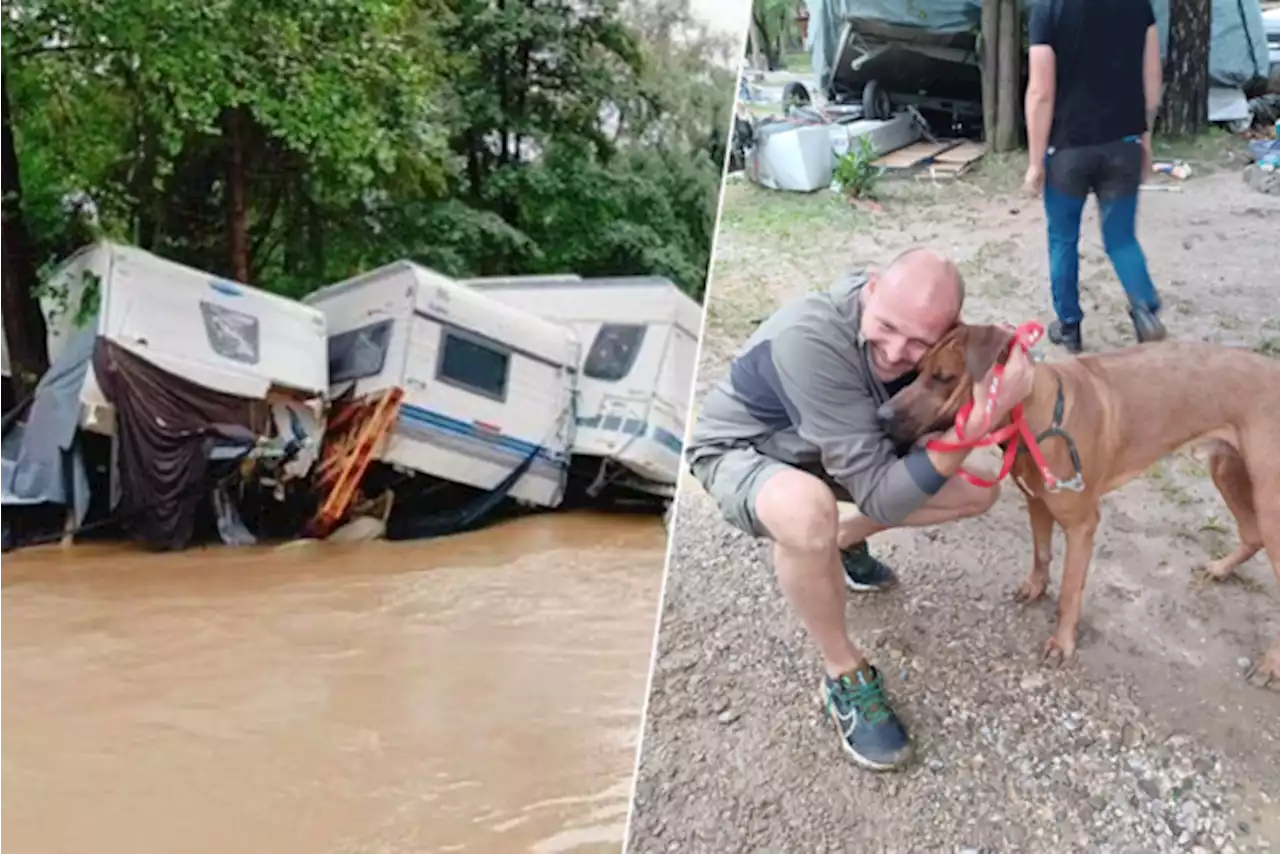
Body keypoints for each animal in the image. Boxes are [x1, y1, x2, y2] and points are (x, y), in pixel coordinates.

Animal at [880, 325, 1280, 686]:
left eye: (944, 377)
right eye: (917, 371)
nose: (881, 416)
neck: (1036, 416)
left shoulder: (1082, 525)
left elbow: (1070, 590)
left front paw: (1062, 643)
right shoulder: (1036, 501)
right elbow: (1041, 553)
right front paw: (1035, 587)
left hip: (1268, 503)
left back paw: (1271, 664)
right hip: (1228, 470)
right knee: (1251, 534)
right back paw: (1221, 568)